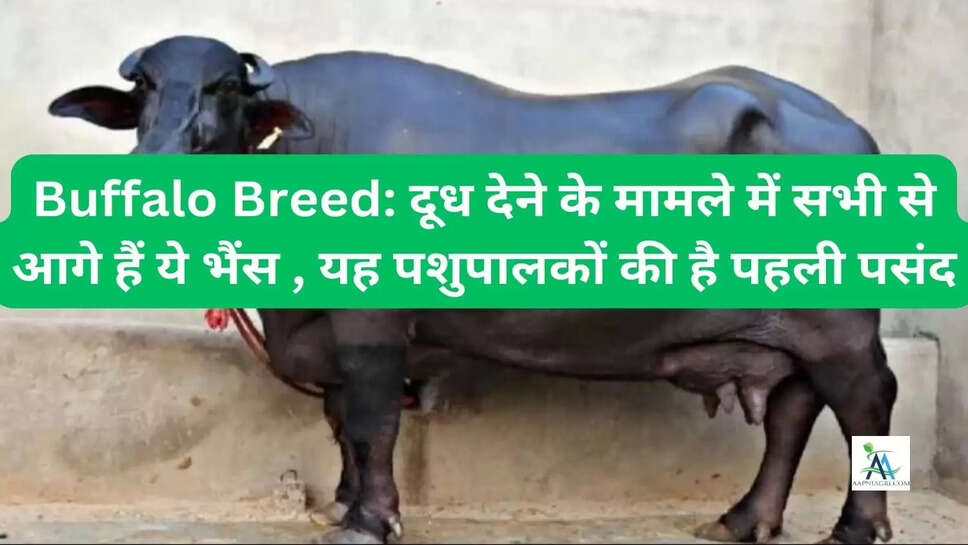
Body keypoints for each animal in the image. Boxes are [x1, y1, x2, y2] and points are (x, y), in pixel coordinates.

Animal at [50, 36, 891, 544]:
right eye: (145, 88)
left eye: (224, 86)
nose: (157, 160)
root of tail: (852, 131)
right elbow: (341, 421)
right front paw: (348, 501)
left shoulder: (371, 318)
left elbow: (373, 417)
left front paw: (370, 519)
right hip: (795, 331)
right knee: (792, 411)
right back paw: (745, 518)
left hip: (842, 326)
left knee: (864, 402)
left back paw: (857, 525)